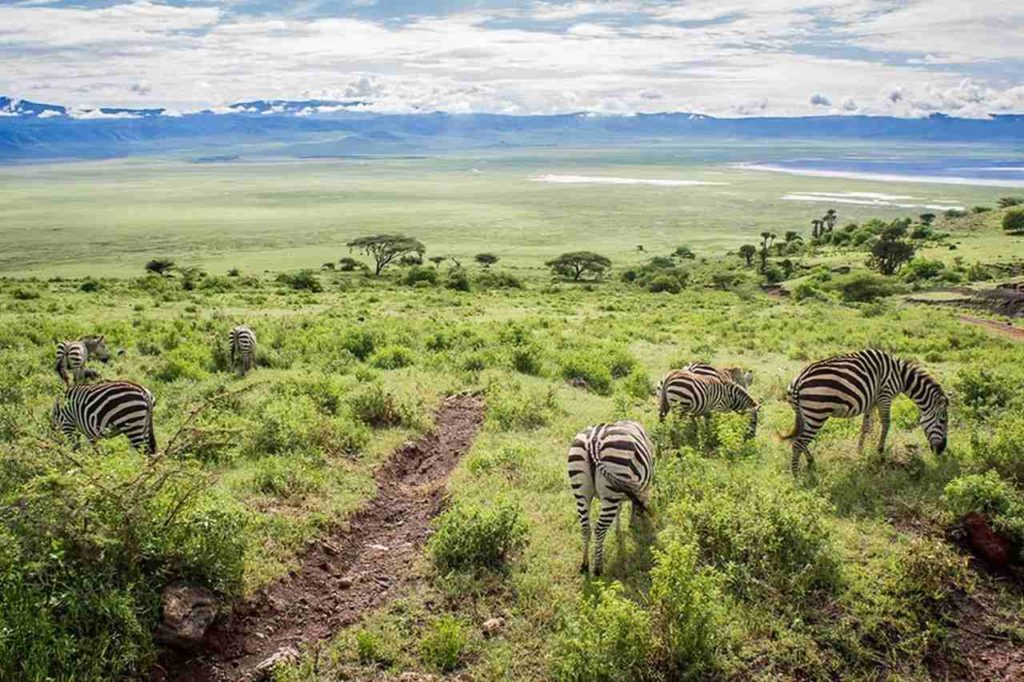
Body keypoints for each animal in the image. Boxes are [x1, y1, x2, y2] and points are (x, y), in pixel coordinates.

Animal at [569, 419, 655, 573]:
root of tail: (593, 439)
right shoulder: (641, 488)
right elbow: (637, 505)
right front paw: (636, 524)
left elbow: (621, 509)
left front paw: (619, 529)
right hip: (611, 490)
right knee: (599, 529)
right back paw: (598, 568)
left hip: (581, 492)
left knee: (585, 528)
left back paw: (585, 564)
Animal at [782, 346, 950, 473]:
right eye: (943, 421)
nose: (941, 450)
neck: (901, 376)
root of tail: (798, 380)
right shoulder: (885, 395)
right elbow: (886, 423)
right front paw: (880, 452)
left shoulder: (872, 402)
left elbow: (866, 427)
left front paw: (860, 452)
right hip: (817, 414)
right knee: (798, 443)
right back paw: (797, 477)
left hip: (804, 414)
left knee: (797, 440)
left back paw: (810, 461)